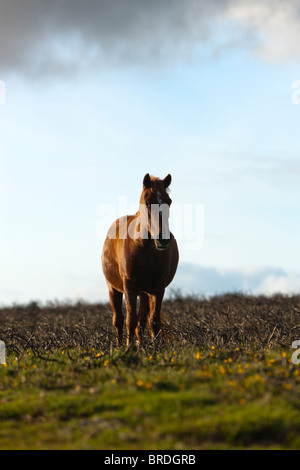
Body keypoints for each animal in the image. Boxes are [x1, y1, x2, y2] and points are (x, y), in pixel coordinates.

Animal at [102, 173, 179, 346]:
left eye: (169, 201)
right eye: (148, 202)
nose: (163, 239)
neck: (144, 249)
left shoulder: (158, 288)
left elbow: (153, 322)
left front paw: (155, 348)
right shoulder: (129, 286)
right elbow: (130, 320)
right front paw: (128, 348)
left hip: (144, 293)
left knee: (142, 322)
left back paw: (141, 345)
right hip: (113, 289)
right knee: (119, 320)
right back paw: (120, 346)